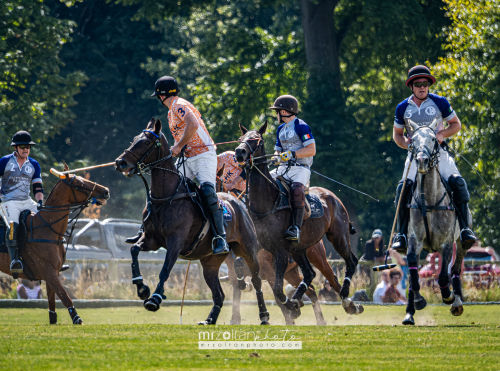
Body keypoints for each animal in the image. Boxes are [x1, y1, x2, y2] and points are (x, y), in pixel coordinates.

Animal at [0, 166, 109, 326]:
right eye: (80, 183)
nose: (106, 191)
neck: (48, 229)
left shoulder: (53, 272)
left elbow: (52, 301)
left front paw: (53, 320)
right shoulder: (47, 270)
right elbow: (64, 296)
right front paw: (77, 319)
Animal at [114, 118, 270, 326]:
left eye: (146, 142)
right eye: (134, 139)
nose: (120, 162)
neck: (166, 197)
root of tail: (238, 203)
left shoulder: (176, 241)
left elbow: (165, 269)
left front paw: (155, 298)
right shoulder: (152, 240)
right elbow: (134, 250)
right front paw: (142, 288)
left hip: (248, 249)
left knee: (256, 279)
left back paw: (264, 316)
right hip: (210, 261)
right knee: (219, 293)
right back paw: (210, 319)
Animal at [217, 169, 346, 326]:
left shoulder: (268, 269)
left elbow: (276, 294)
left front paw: (290, 315)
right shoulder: (234, 271)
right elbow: (238, 287)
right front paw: (236, 318)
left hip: (318, 258)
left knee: (332, 279)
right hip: (291, 272)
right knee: (310, 289)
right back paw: (318, 318)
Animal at [234, 122, 364, 322]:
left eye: (258, 140)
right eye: (241, 138)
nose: (239, 152)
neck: (265, 205)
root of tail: (332, 195)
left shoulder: (279, 250)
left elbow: (278, 290)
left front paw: (293, 307)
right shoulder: (258, 246)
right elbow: (239, 263)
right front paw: (244, 284)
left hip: (337, 237)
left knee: (348, 264)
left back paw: (348, 302)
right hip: (299, 249)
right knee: (310, 274)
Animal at [402, 120, 464, 326]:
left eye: (432, 139)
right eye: (413, 139)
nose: (421, 160)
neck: (428, 199)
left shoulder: (447, 243)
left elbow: (443, 275)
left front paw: (448, 296)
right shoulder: (414, 240)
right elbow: (413, 270)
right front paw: (418, 301)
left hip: (461, 242)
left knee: (455, 267)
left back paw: (457, 301)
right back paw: (409, 314)